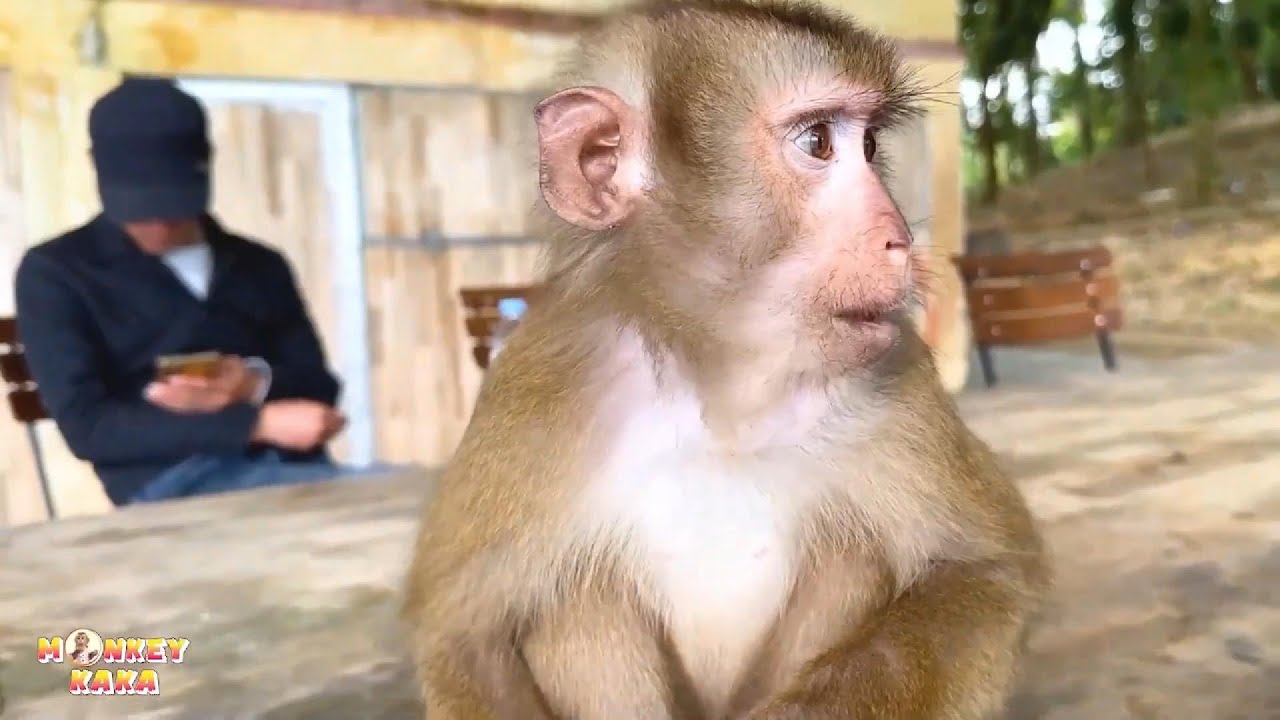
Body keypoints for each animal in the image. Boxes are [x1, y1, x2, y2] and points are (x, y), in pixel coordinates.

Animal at [402, 1, 1050, 718]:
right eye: (818, 143)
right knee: (576, 593)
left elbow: (987, 571)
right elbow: (460, 633)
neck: (723, 386)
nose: (899, 239)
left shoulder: (895, 370)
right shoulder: (544, 381)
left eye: (871, 146)